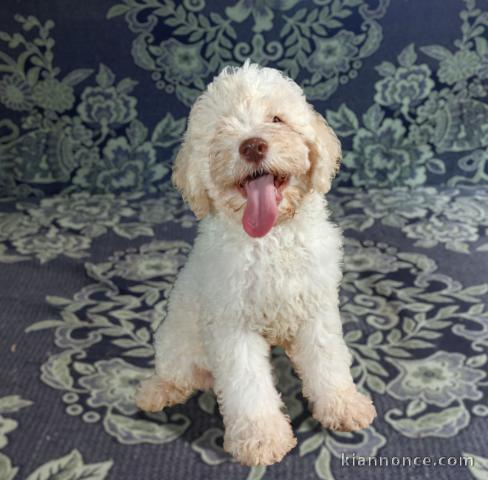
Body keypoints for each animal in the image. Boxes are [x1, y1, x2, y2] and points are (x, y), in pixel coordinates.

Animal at [137, 62, 378, 466]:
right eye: (223, 127)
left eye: (276, 119)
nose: (252, 145)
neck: (271, 239)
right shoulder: (233, 324)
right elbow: (247, 385)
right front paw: (262, 437)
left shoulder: (316, 306)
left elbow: (328, 360)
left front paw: (342, 405)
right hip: (177, 338)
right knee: (175, 370)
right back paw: (158, 390)